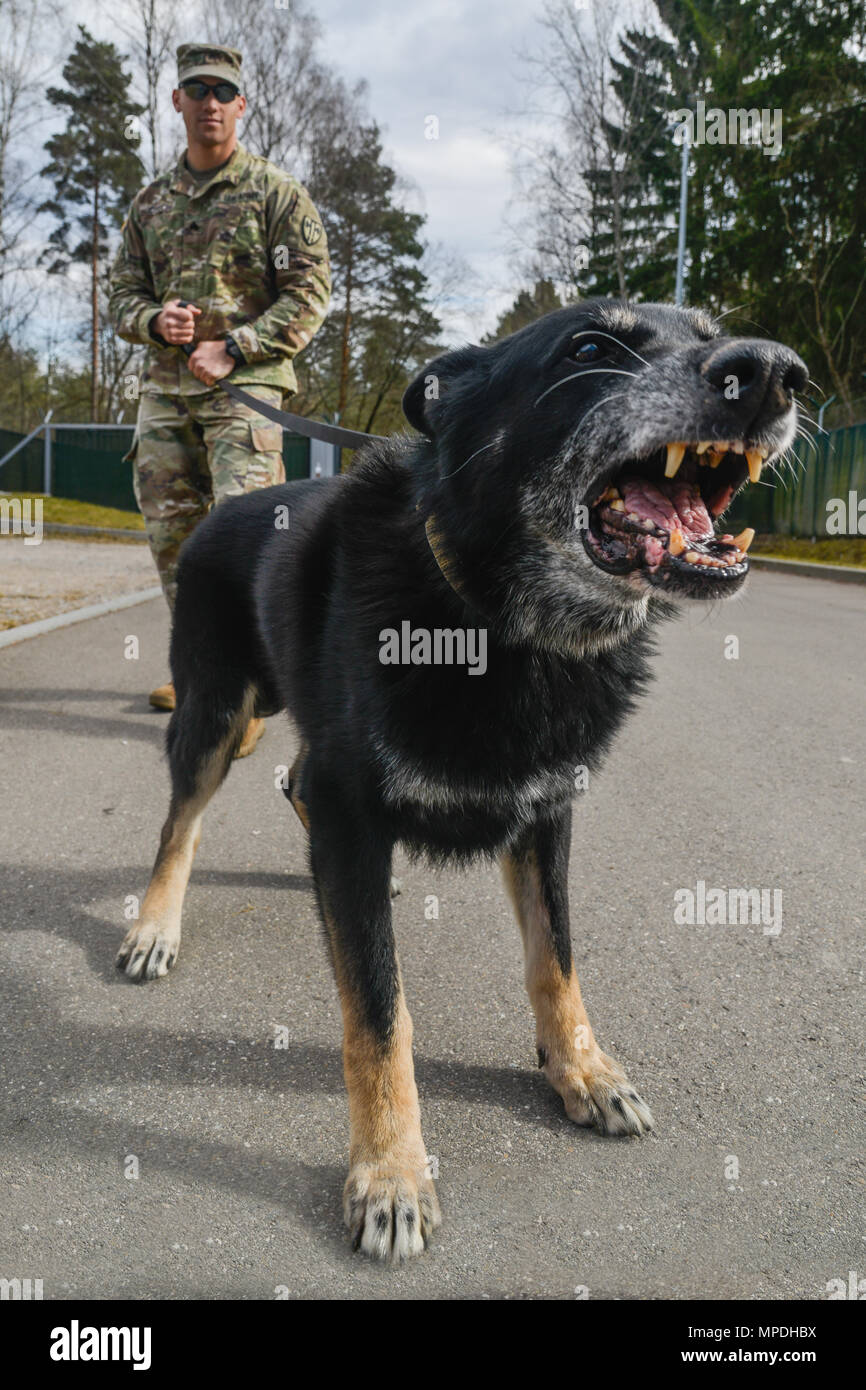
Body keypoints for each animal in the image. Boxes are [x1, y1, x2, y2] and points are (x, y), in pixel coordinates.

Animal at [118, 301, 811, 1262]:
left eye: (712, 332)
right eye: (590, 348)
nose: (779, 371)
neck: (498, 624)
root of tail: (227, 506)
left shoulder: (547, 811)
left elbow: (557, 958)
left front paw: (582, 1068)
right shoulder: (352, 805)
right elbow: (379, 1014)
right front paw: (391, 1173)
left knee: (293, 786)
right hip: (217, 711)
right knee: (180, 822)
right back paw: (154, 925)